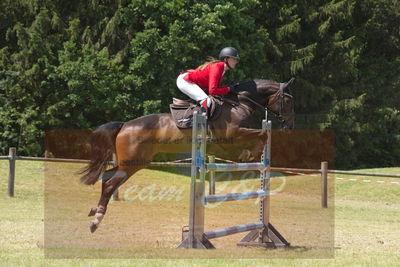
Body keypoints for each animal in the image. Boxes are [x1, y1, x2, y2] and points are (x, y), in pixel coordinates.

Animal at [79, 78, 296, 232]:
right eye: (287, 101)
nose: (289, 126)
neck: (239, 103)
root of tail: (124, 125)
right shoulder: (231, 135)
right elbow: (261, 134)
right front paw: (250, 155)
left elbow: (260, 136)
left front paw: (251, 155)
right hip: (132, 163)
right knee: (109, 184)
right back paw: (96, 220)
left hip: (133, 162)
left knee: (106, 177)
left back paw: (94, 211)